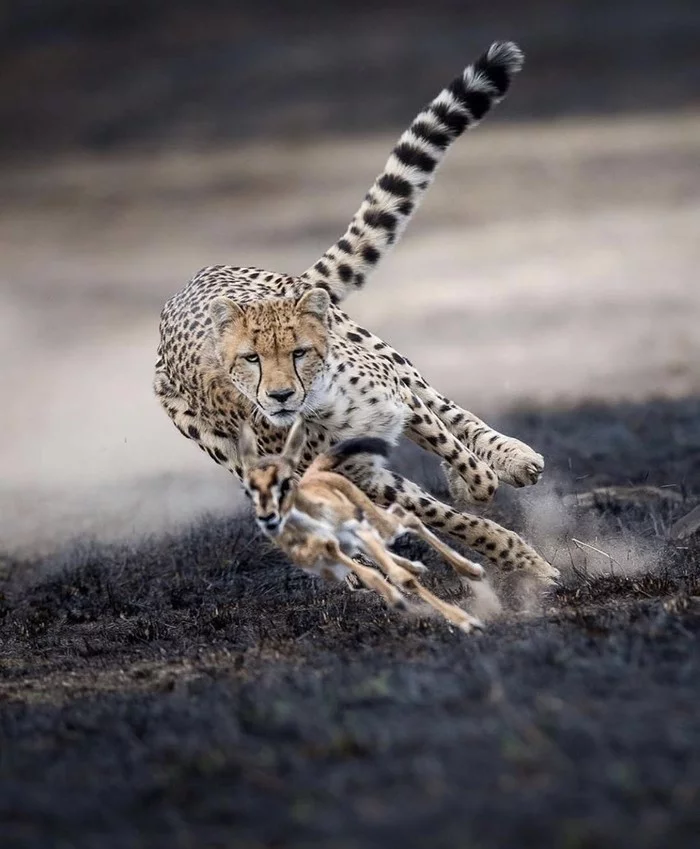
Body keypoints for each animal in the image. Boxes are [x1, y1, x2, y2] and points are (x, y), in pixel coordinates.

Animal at [153, 39, 556, 584]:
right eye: (250, 360)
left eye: (298, 353)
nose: (279, 396)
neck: (325, 405)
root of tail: (189, 285)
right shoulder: (365, 474)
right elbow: (449, 517)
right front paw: (517, 557)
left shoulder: (399, 400)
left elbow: (452, 446)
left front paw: (476, 482)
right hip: (237, 455)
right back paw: (358, 567)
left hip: (385, 354)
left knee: (450, 409)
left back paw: (509, 458)